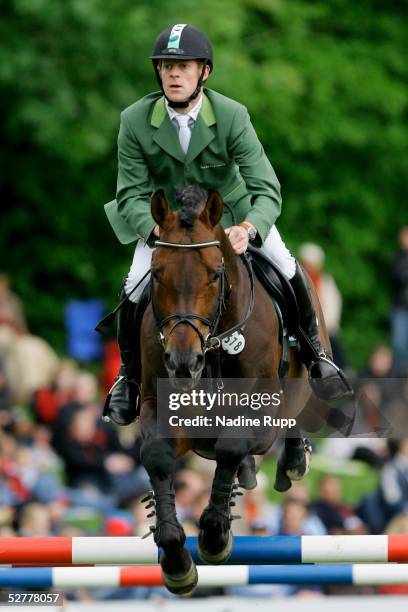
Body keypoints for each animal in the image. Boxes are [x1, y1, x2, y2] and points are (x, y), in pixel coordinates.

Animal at [139, 186, 330, 592]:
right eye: (157, 274)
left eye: (215, 275)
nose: (183, 362)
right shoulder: (158, 407)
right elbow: (158, 456)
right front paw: (176, 558)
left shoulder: (261, 415)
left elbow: (231, 446)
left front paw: (214, 536)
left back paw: (293, 461)